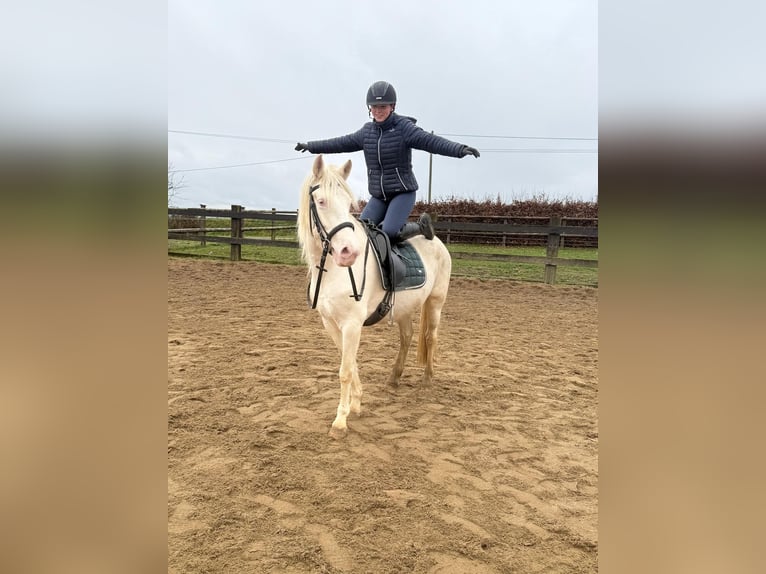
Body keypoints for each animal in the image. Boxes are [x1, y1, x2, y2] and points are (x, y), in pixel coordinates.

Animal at [297, 155, 452, 438]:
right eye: (321, 201)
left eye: (348, 204)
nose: (348, 252)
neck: (333, 270)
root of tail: (436, 241)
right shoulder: (331, 324)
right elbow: (351, 363)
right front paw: (356, 404)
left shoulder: (352, 324)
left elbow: (345, 370)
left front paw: (340, 421)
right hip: (403, 308)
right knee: (407, 337)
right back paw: (394, 378)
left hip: (435, 302)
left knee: (430, 337)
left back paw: (427, 380)